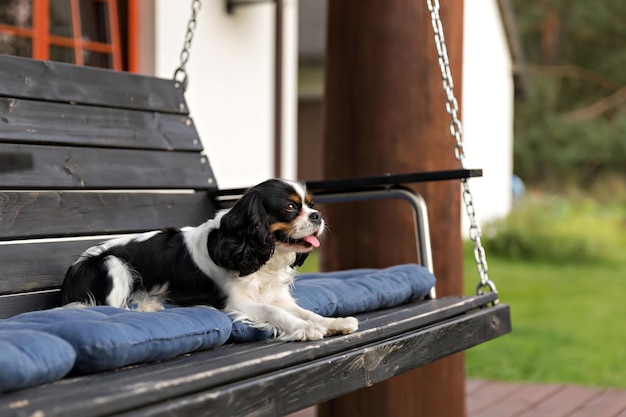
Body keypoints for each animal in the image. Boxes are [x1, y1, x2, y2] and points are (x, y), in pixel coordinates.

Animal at [62, 177, 360, 340]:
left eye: (311, 204)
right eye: (289, 208)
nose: (317, 216)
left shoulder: (277, 296)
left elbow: (305, 311)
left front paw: (333, 323)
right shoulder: (237, 302)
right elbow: (275, 313)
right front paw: (305, 329)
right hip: (111, 265)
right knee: (116, 308)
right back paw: (148, 306)